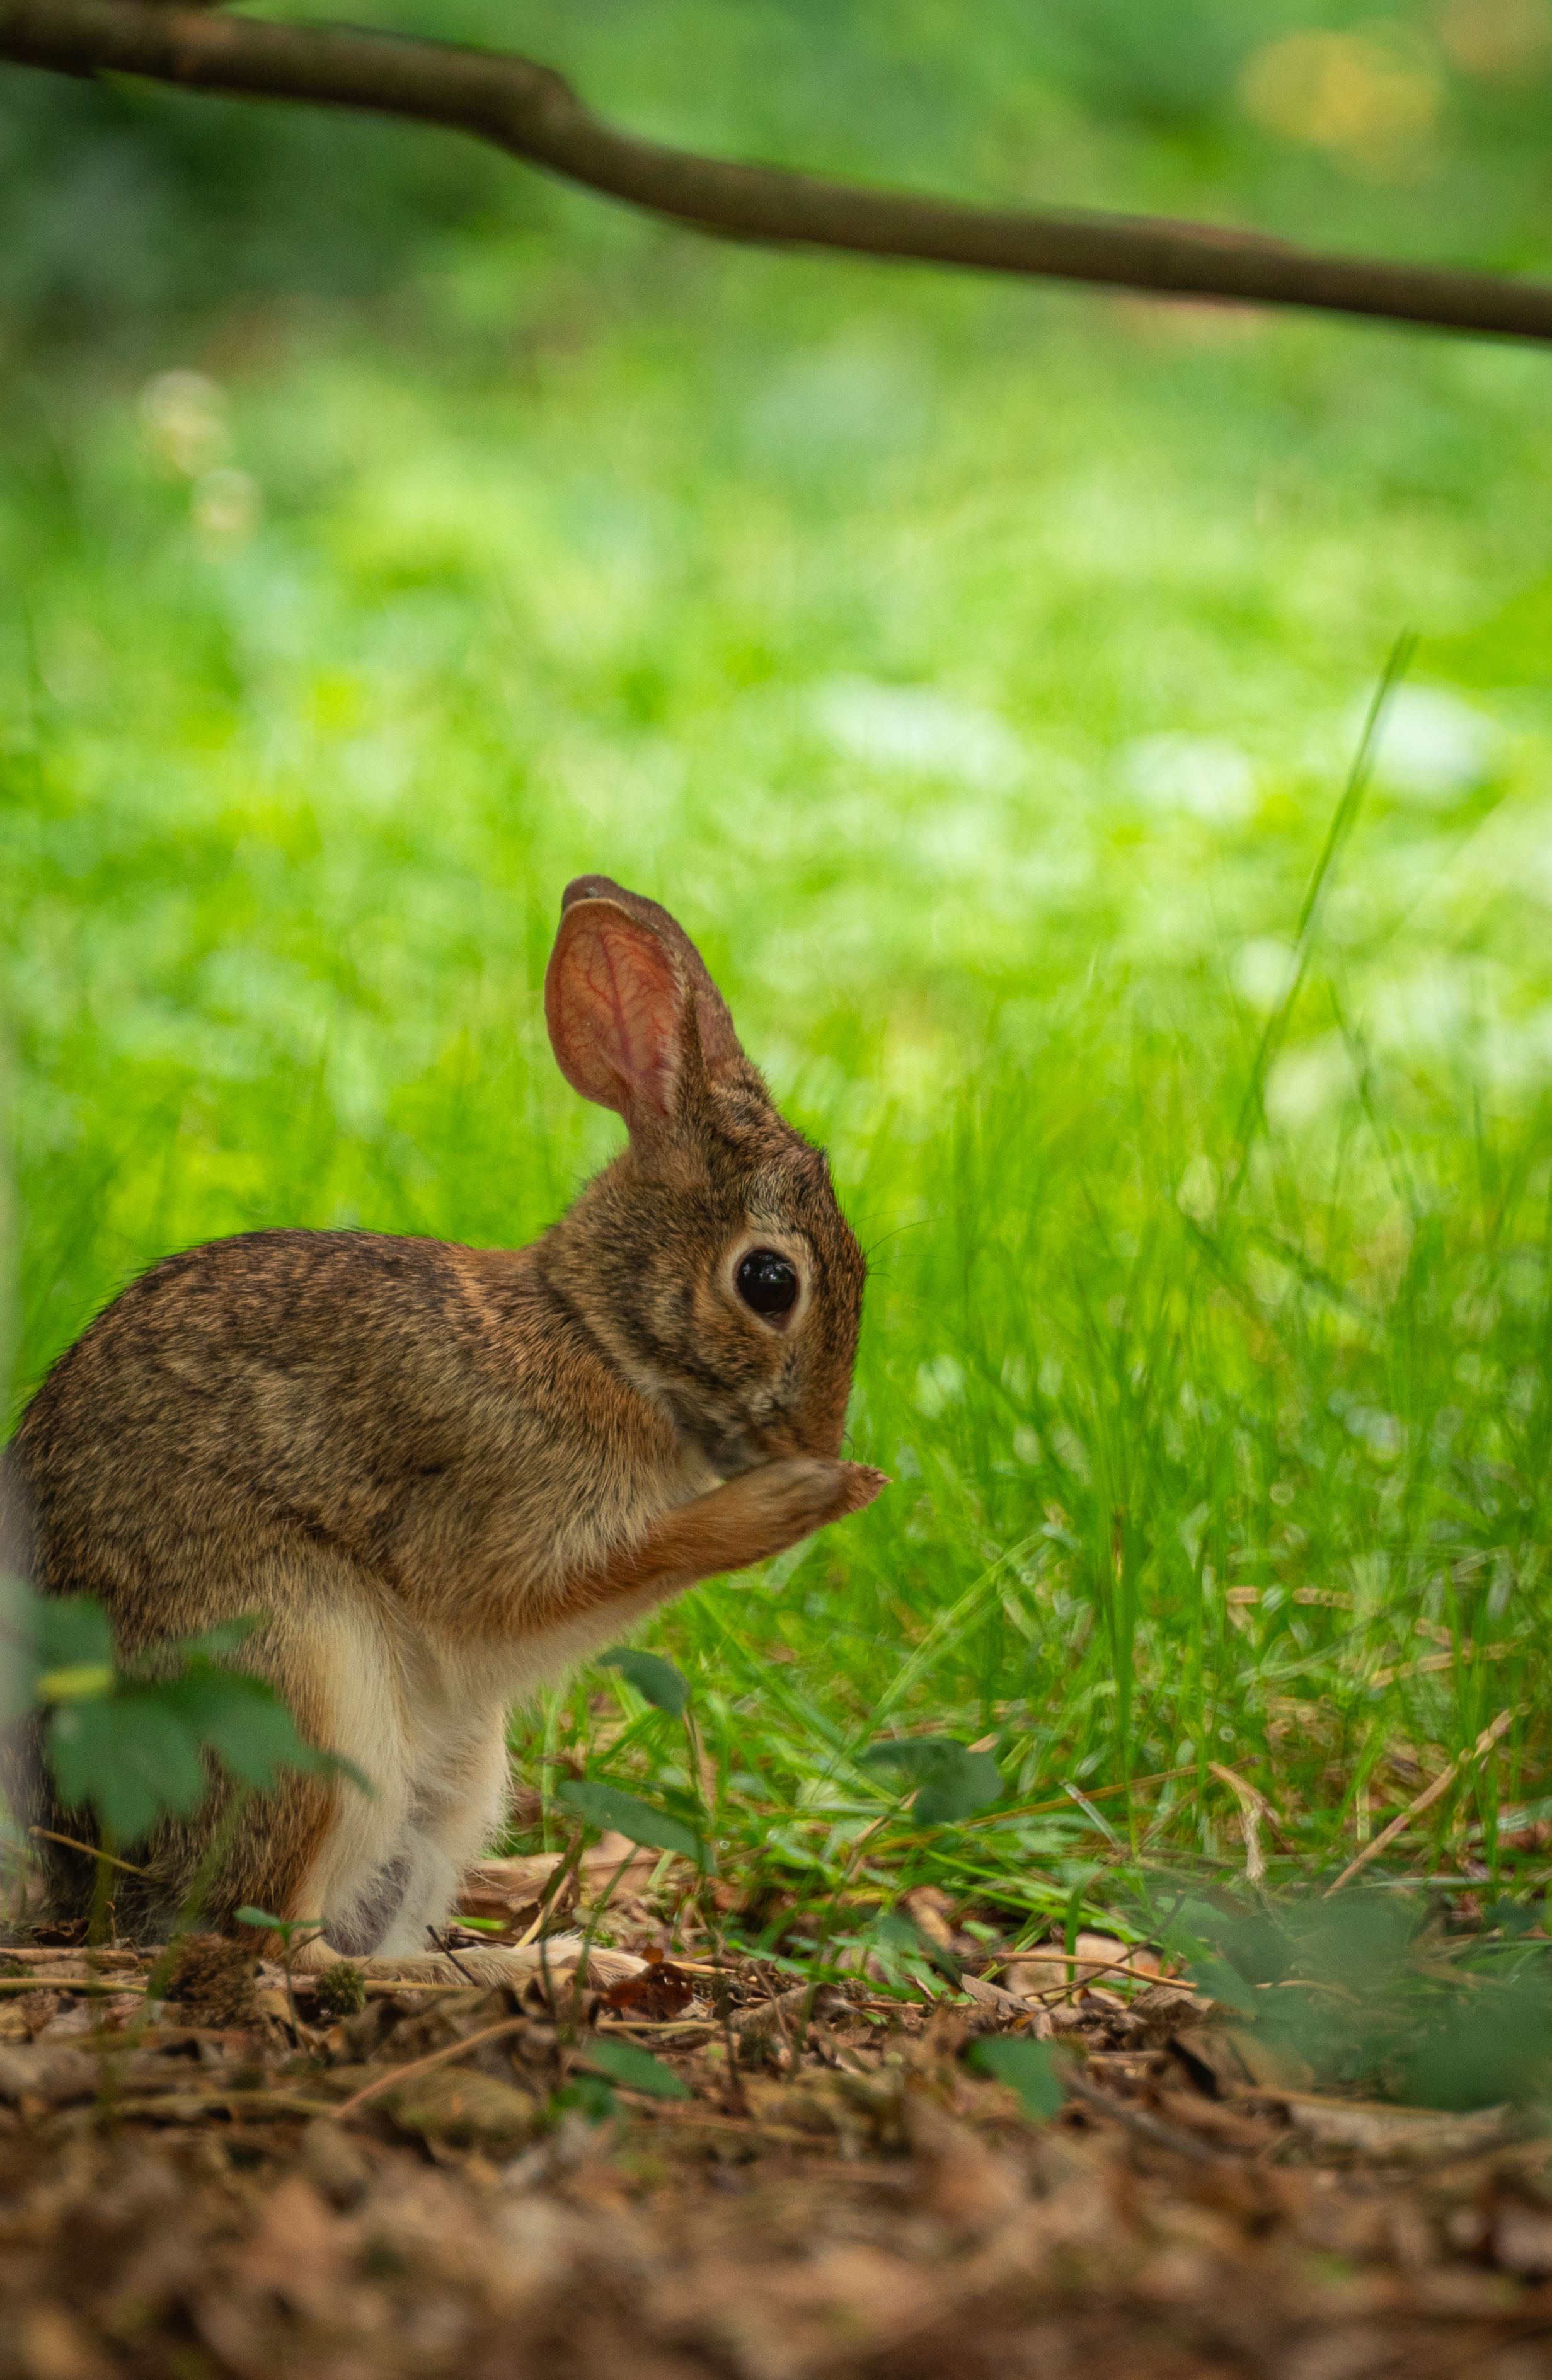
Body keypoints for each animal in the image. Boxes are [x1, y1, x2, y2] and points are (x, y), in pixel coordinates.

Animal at [0, 876, 886, 1985]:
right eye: (768, 1281)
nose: (817, 1436)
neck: (596, 1338)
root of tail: (87, 1870)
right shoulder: (491, 1515)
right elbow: (553, 1587)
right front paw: (807, 1496)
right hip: (300, 1682)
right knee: (277, 1947)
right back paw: (543, 1967)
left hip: (448, 1774)